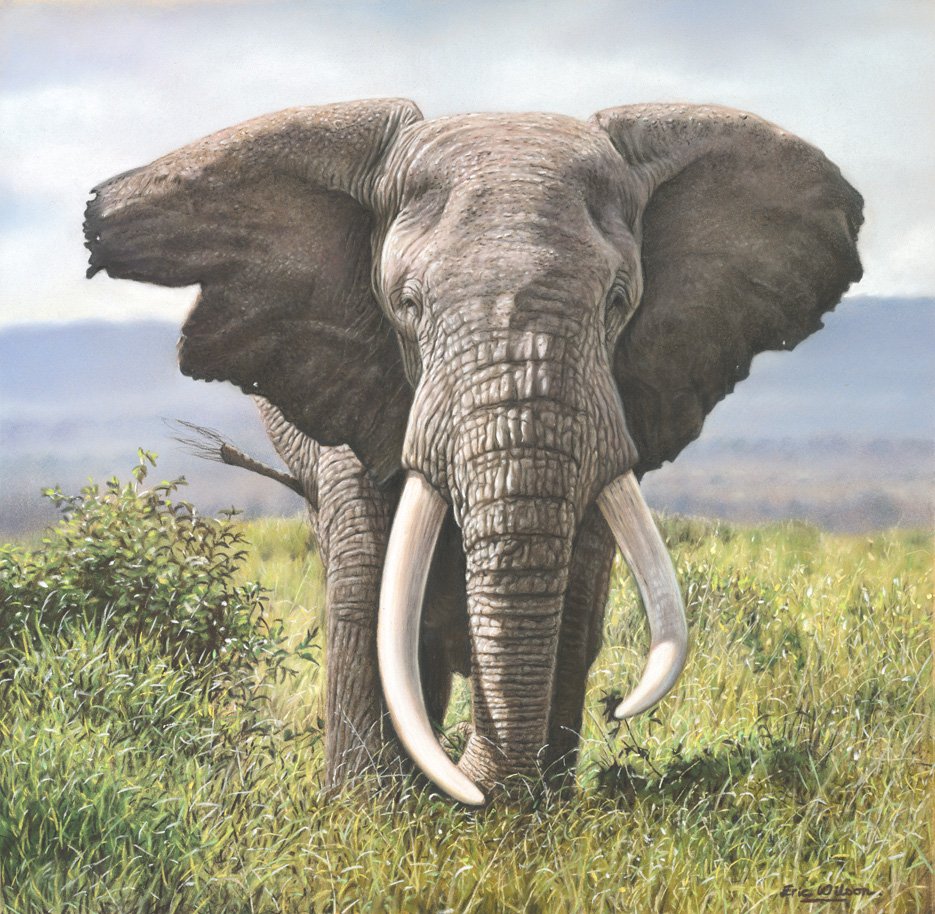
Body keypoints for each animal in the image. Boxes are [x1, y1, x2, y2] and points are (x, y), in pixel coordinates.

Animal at [84, 98, 862, 805]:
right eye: (407, 305)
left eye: (617, 303)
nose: (618, 707)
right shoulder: (348, 382)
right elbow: (367, 579)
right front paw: (366, 810)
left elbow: (576, 592)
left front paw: (536, 806)